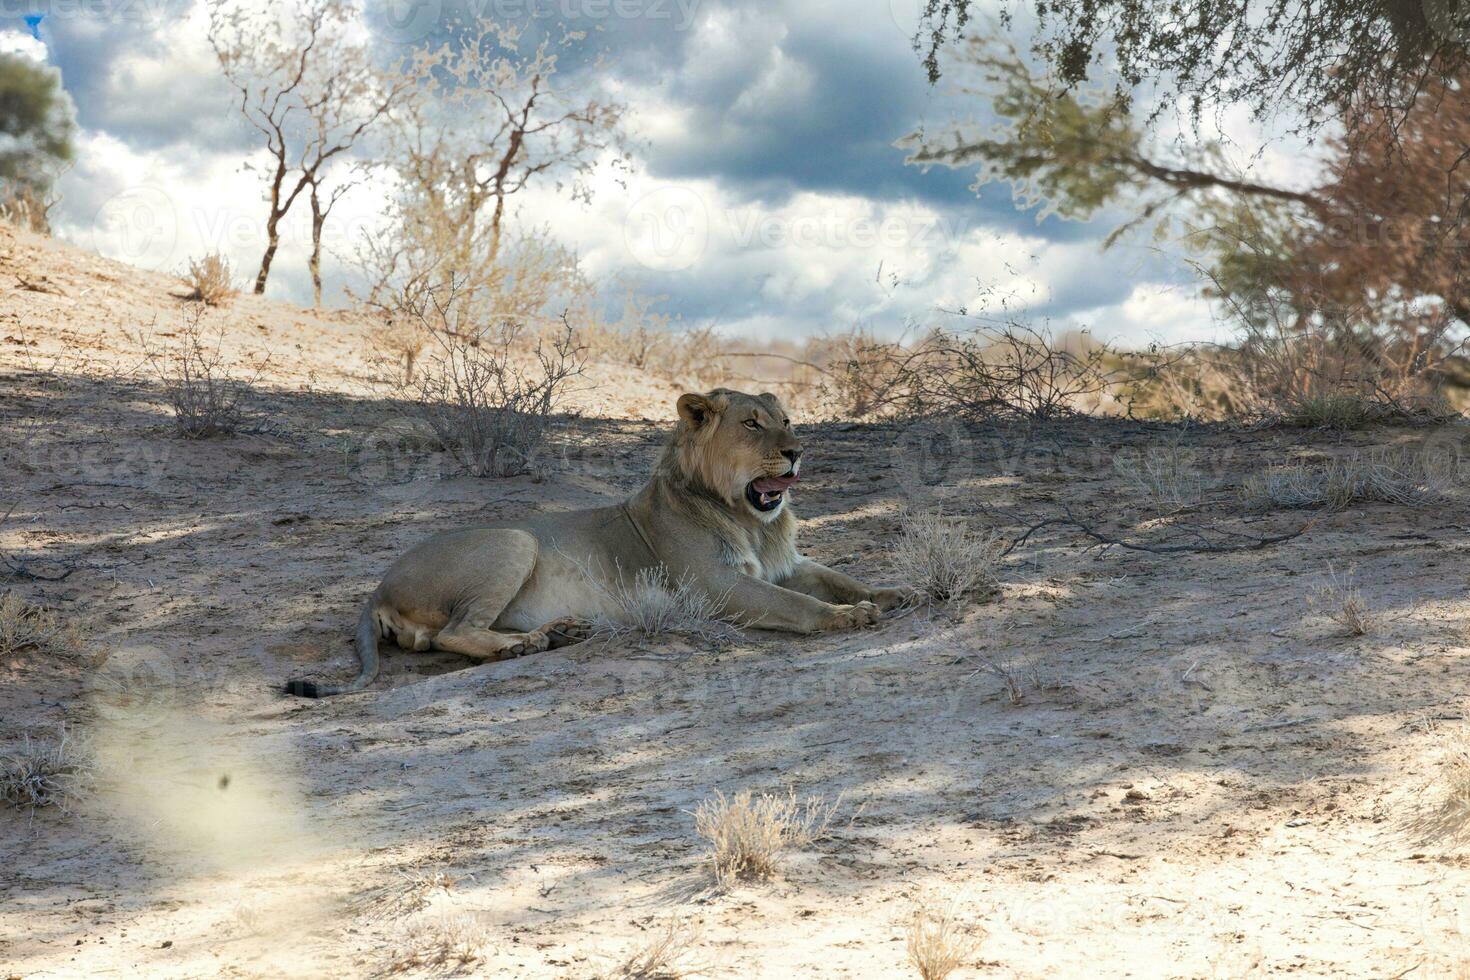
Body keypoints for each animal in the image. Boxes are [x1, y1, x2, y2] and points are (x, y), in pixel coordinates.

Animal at [280, 384, 911, 696]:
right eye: (752, 425)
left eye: (786, 421)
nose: (797, 451)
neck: (753, 519)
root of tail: (377, 586)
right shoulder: (718, 587)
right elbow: (798, 604)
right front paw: (848, 618)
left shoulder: (786, 563)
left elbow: (836, 577)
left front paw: (892, 593)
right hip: (514, 539)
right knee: (451, 634)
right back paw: (523, 647)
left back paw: (559, 633)